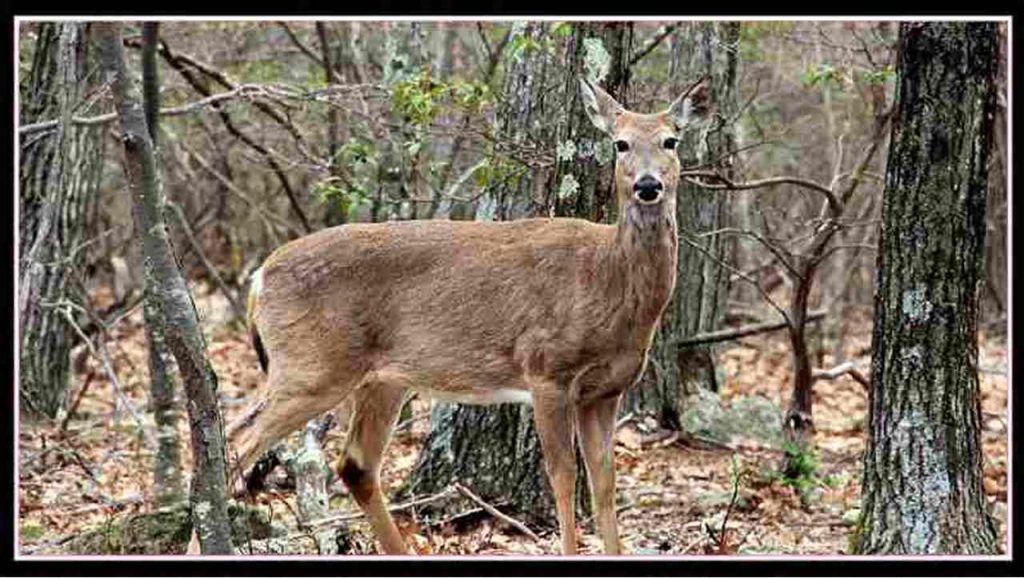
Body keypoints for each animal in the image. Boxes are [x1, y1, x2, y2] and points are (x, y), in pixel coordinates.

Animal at [197, 76, 708, 556]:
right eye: (620, 143)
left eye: (671, 140)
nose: (648, 185)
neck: (607, 280)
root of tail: (260, 276)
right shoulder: (547, 370)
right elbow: (563, 477)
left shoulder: (605, 391)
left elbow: (604, 483)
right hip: (312, 365)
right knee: (235, 442)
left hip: (382, 379)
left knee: (354, 464)